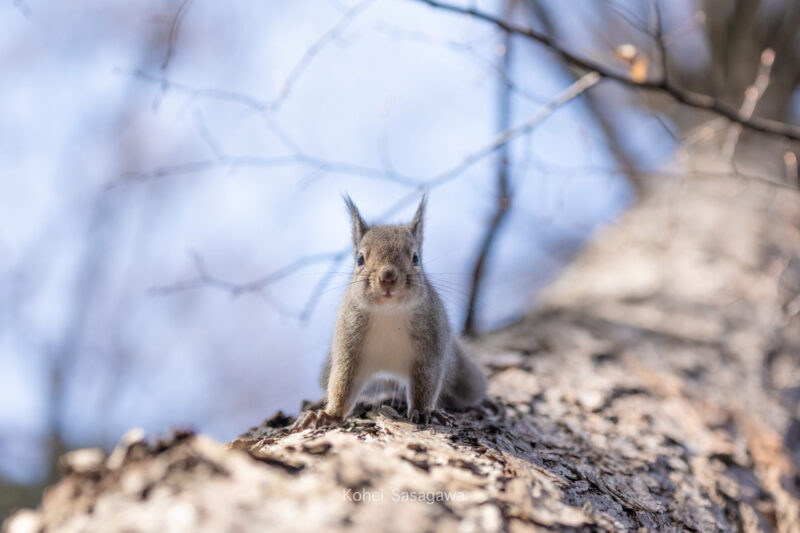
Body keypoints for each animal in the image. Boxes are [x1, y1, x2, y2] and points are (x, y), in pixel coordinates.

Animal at [290, 193, 484, 430]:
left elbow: (426, 383)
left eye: (416, 258)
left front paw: (423, 411)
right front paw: (329, 414)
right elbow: (343, 384)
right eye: (360, 259)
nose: (388, 277)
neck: (389, 312)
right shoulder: (350, 345)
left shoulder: (430, 347)